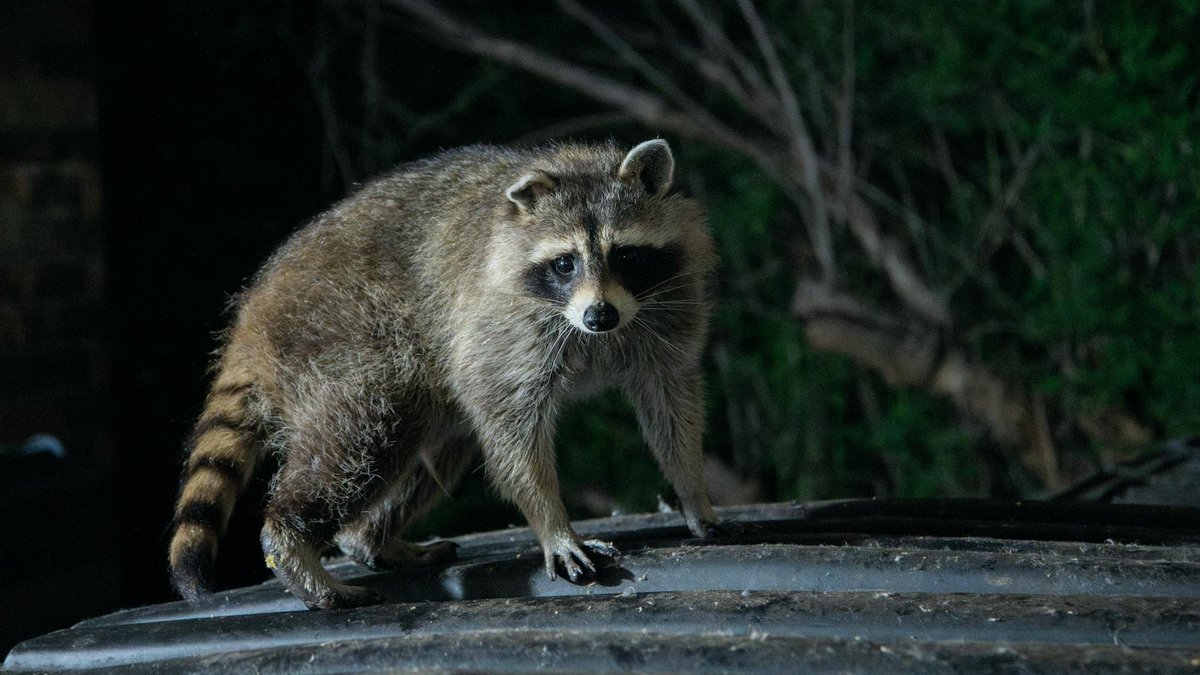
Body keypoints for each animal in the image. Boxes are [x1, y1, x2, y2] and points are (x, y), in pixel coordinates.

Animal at [168, 139, 721, 609]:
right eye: (565, 263)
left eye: (624, 254)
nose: (599, 316)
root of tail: (251, 316)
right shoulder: (500, 322)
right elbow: (511, 425)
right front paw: (552, 523)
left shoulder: (669, 307)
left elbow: (671, 403)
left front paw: (692, 490)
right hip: (339, 335)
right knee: (363, 434)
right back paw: (292, 544)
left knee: (433, 443)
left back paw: (368, 538)